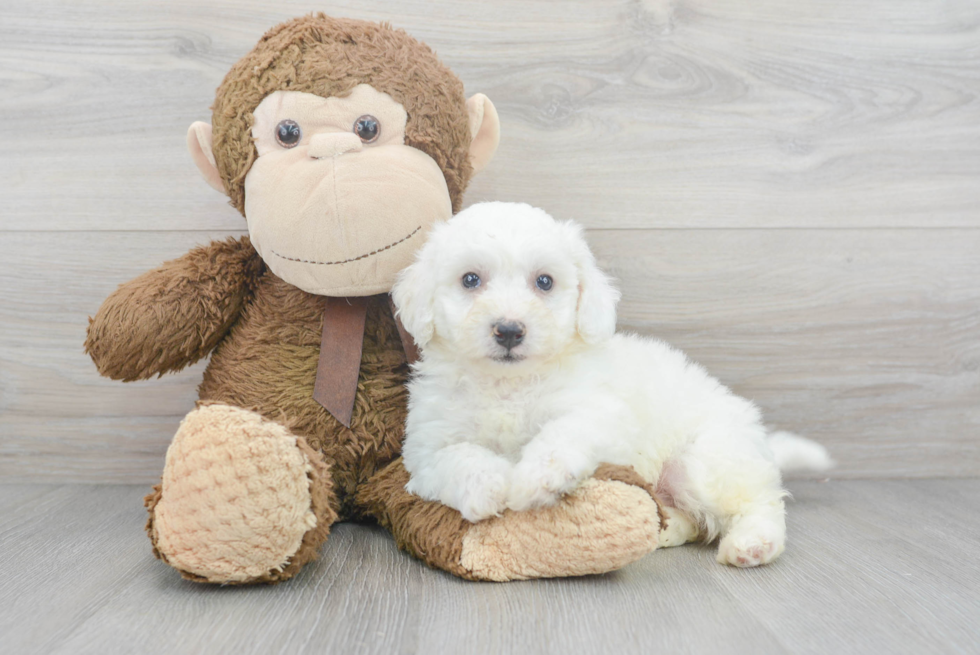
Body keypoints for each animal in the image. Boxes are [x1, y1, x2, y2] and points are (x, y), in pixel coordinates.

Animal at [394, 202, 832, 568]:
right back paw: (665, 530)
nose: (509, 330)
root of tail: (759, 443)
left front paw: (537, 479)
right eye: (470, 280)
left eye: (544, 282)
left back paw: (753, 543)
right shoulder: (426, 448)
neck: (508, 383)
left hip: (707, 461)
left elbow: (562, 433)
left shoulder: (599, 412)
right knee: (694, 519)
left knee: (761, 502)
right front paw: (490, 486)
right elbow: (459, 457)